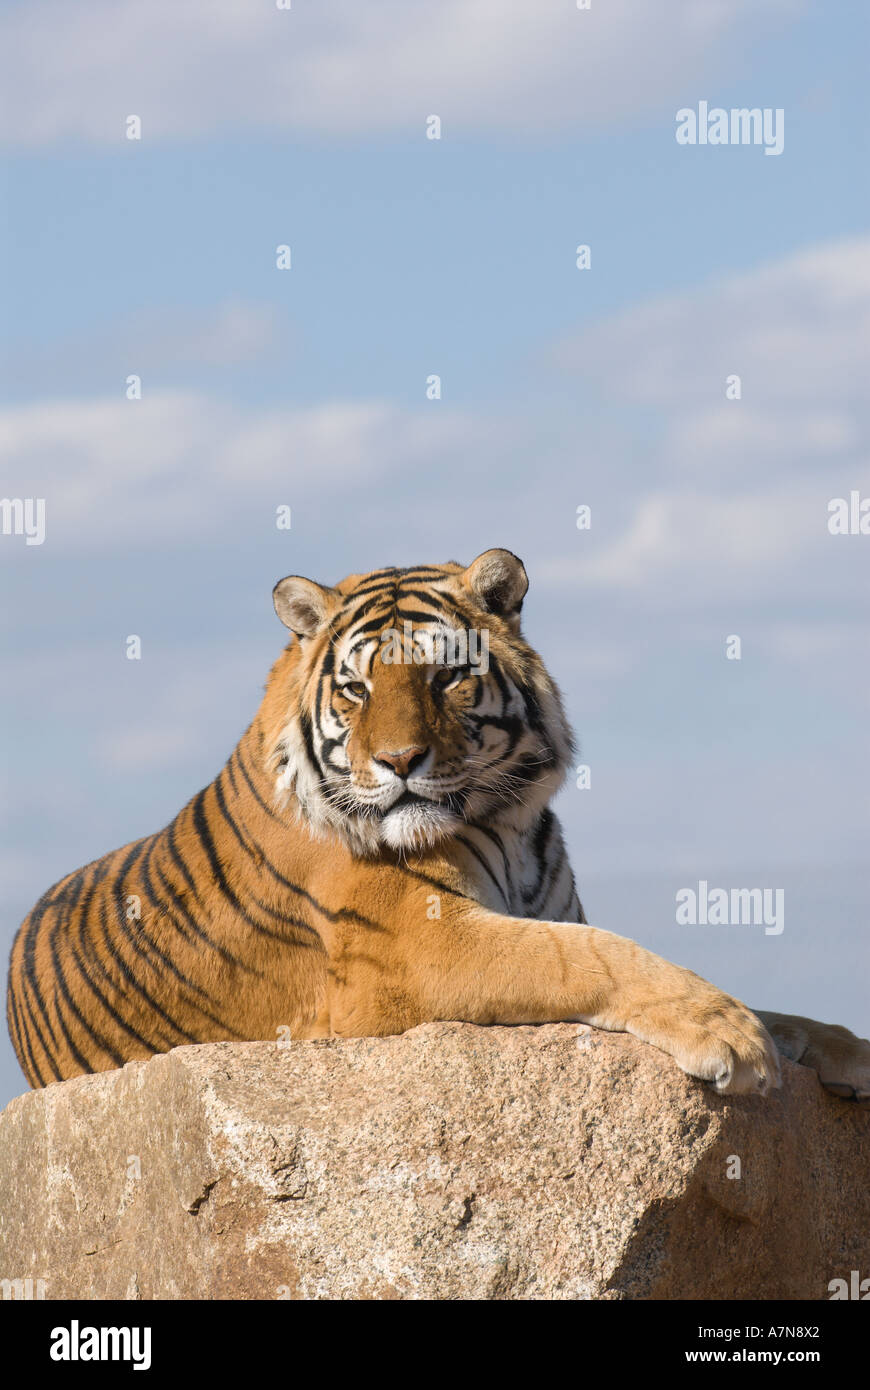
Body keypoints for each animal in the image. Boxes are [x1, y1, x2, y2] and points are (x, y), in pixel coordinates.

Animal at [7, 548, 870, 1101]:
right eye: (355, 688)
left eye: (446, 675)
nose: (398, 760)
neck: (511, 820)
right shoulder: (415, 944)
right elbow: (589, 954)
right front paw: (733, 1040)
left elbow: (770, 1004)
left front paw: (840, 1049)